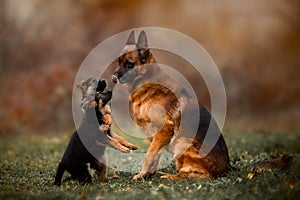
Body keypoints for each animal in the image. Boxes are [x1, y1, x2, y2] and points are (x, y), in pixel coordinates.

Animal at [112, 30, 232, 180]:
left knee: (195, 175)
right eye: (118, 62)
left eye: (129, 64)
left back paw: (169, 176)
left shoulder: (163, 130)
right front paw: (148, 174)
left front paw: (141, 174)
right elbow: (155, 156)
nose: (113, 77)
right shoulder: (157, 137)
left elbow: (149, 156)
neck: (147, 83)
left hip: (183, 143)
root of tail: (227, 168)